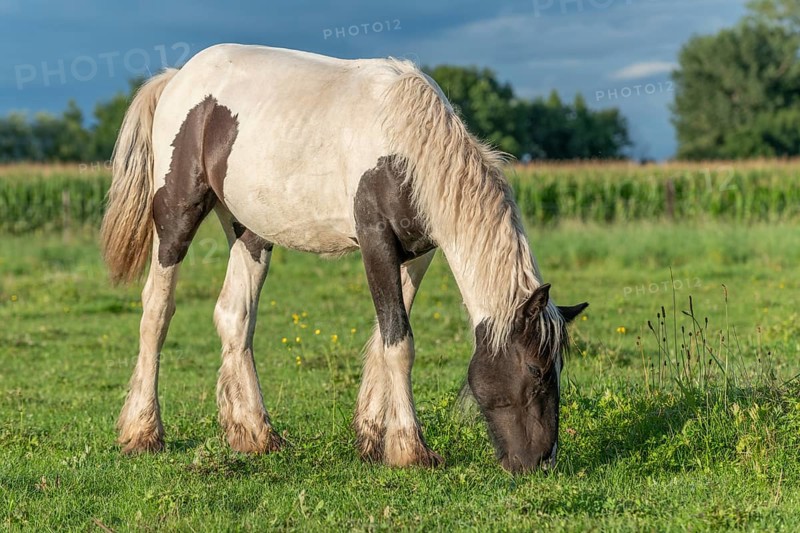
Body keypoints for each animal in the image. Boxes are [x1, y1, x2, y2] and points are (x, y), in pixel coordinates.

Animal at [101, 44, 588, 473]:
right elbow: (399, 343)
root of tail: (177, 78)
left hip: (249, 232)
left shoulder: (417, 255)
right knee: (157, 311)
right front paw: (410, 450)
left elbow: (383, 338)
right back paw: (143, 432)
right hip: (176, 218)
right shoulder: (376, 242)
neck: (404, 146)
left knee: (234, 317)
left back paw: (256, 435)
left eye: (559, 367)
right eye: (536, 370)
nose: (541, 462)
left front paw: (372, 438)